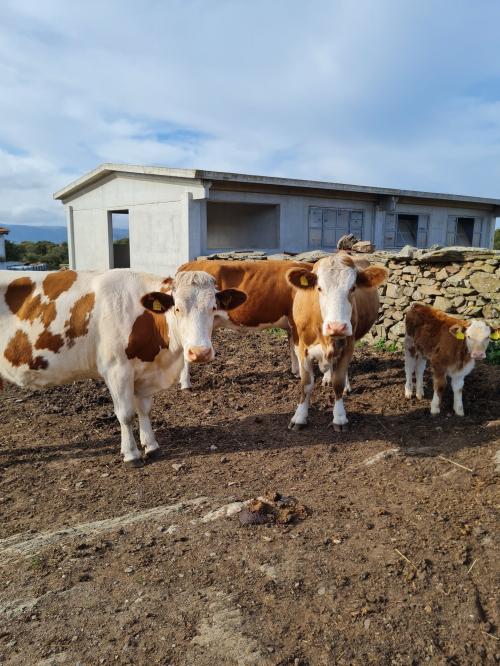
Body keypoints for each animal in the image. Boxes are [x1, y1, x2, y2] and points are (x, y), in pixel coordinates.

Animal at [0, 268, 246, 464]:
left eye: (213, 308)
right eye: (177, 308)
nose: (200, 352)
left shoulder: (144, 372)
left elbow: (144, 409)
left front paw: (151, 446)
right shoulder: (117, 370)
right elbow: (126, 414)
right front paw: (131, 454)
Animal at [176, 256, 312, 386]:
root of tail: (189, 265)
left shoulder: (291, 326)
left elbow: (293, 349)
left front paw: (296, 372)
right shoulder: (296, 323)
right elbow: (299, 350)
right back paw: (186, 383)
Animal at [286, 250, 386, 430]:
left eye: (353, 287)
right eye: (319, 288)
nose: (337, 327)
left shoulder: (348, 345)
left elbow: (337, 382)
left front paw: (339, 417)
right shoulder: (303, 347)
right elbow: (306, 383)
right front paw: (299, 416)